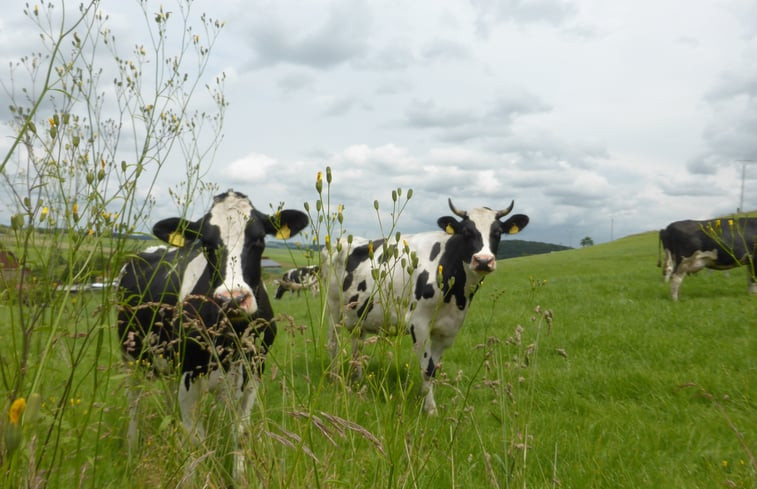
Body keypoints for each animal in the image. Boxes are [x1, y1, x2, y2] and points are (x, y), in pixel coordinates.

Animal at [118, 189, 308, 474]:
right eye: (206, 243)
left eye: (259, 239)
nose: (233, 299)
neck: (233, 334)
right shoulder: (189, 376)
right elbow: (195, 441)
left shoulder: (253, 373)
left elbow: (241, 434)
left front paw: (239, 477)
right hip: (131, 357)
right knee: (134, 404)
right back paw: (130, 449)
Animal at [322, 196, 528, 414]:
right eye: (466, 231)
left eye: (497, 232)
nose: (483, 260)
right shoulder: (418, 323)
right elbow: (427, 368)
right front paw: (430, 409)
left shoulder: (448, 329)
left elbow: (433, 367)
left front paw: (422, 398)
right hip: (333, 308)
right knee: (333, 342)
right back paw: (334, 378)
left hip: (359, 313)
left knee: (357, 346)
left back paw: (358, 379)